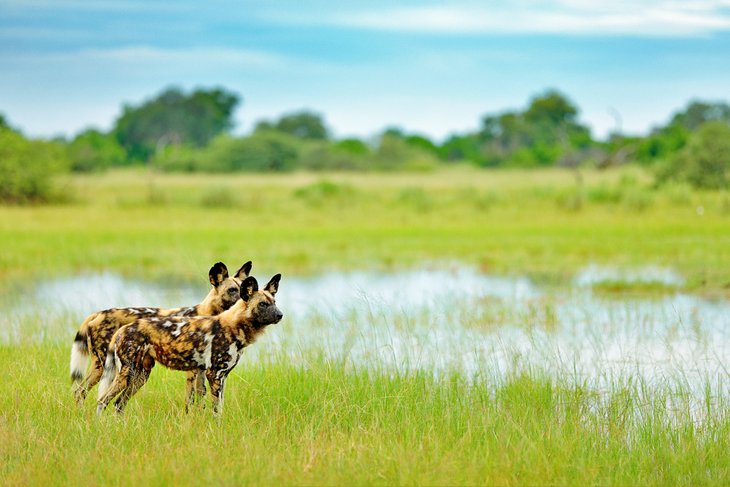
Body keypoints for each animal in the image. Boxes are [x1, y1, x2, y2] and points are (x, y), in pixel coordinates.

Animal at [70, 262, 252, 406]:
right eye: (232, 290)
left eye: (245, 288)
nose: (244, 301)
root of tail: (98, 314)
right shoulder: (192, 372)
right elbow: (190, 402)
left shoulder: (201, 371)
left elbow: (201, 399)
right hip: (106, 367)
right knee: (80, 391)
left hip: (139, 373)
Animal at [95, 274, 280, 416]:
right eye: (263, 304)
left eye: (274, 302)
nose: (280, 315)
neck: (234, 326)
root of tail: (124, 328)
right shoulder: (214, 375)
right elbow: (216, 411)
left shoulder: (222, 376)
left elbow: (219, 406)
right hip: (126, 373)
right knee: (102, 401)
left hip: (140, 376)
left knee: (118, 404)